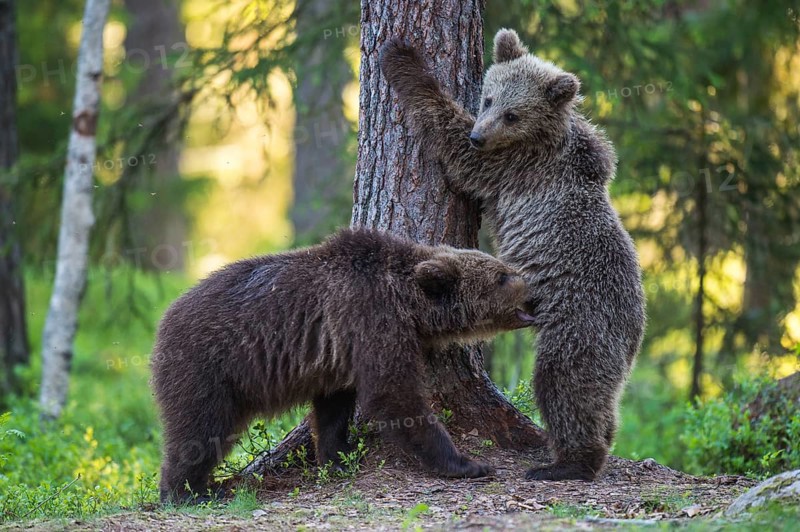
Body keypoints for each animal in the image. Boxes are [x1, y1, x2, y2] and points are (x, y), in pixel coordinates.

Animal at [151, 227, 536, 502]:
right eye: (502, 276)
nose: (532, 285)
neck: (409, 303)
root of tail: (163, 320)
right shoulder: (371, 317)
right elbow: (394, 395)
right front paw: (467, 463)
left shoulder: (339, 352)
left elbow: (333, 408)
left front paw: (336, 459)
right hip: (207, 367)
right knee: (199, 428)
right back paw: (189, 492)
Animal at [379, 30, 646, 481]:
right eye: (488, 99)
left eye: (513, 115)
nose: (480, 136)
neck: (545, 140)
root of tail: (636, 330)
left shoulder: (513, 167)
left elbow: (455, 145)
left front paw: (403, 59)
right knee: (600, 398)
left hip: (582, 321)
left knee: (565, 382)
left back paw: (566, 464)